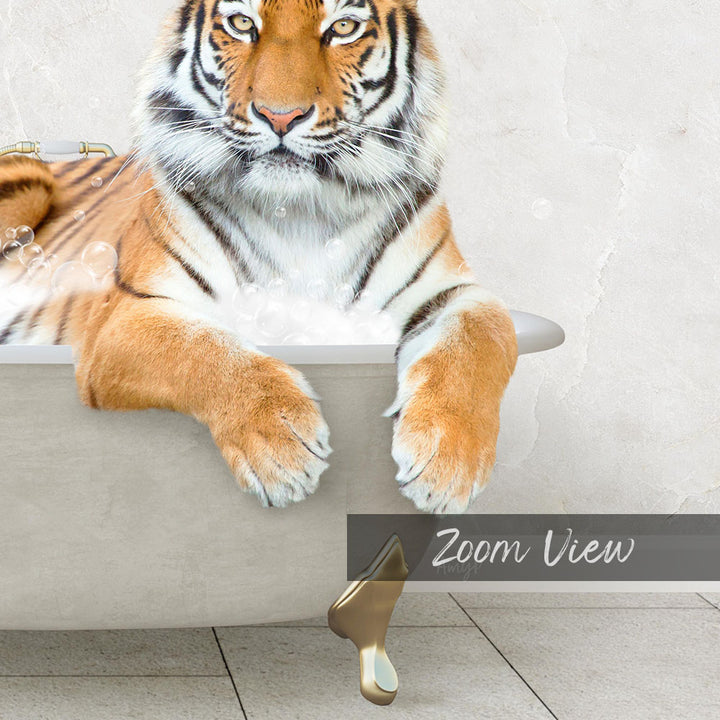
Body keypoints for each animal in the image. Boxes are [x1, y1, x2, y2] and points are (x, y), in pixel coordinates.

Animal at [0, 0, 518, 514]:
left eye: (343, 27)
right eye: (242, 23)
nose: (281, 116)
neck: (300, 213)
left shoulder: (452, 291)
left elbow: (481, 337)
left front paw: (447, 463)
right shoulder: (125, 316)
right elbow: (204, 350)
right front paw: (282, 449)